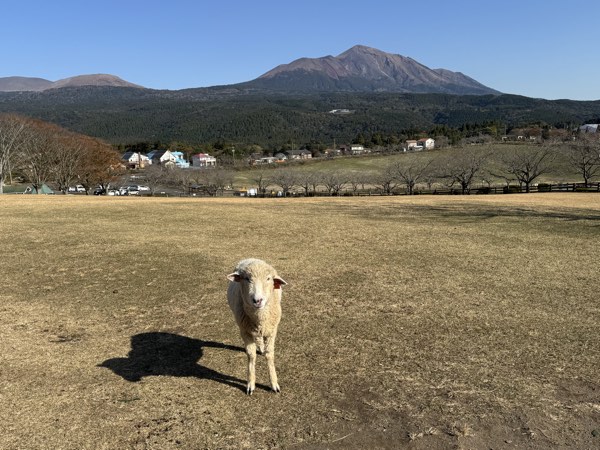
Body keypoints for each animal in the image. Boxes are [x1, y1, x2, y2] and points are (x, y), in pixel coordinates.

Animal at [227, 258, 288, 396]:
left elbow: (269, 354)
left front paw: (274, 384)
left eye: (268, 278)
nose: (257, 300)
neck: (260, 318)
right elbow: (251, 355)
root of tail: (251, 258)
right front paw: (251, 384)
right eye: (247, 278)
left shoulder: (272, 331)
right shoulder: (245, 331)